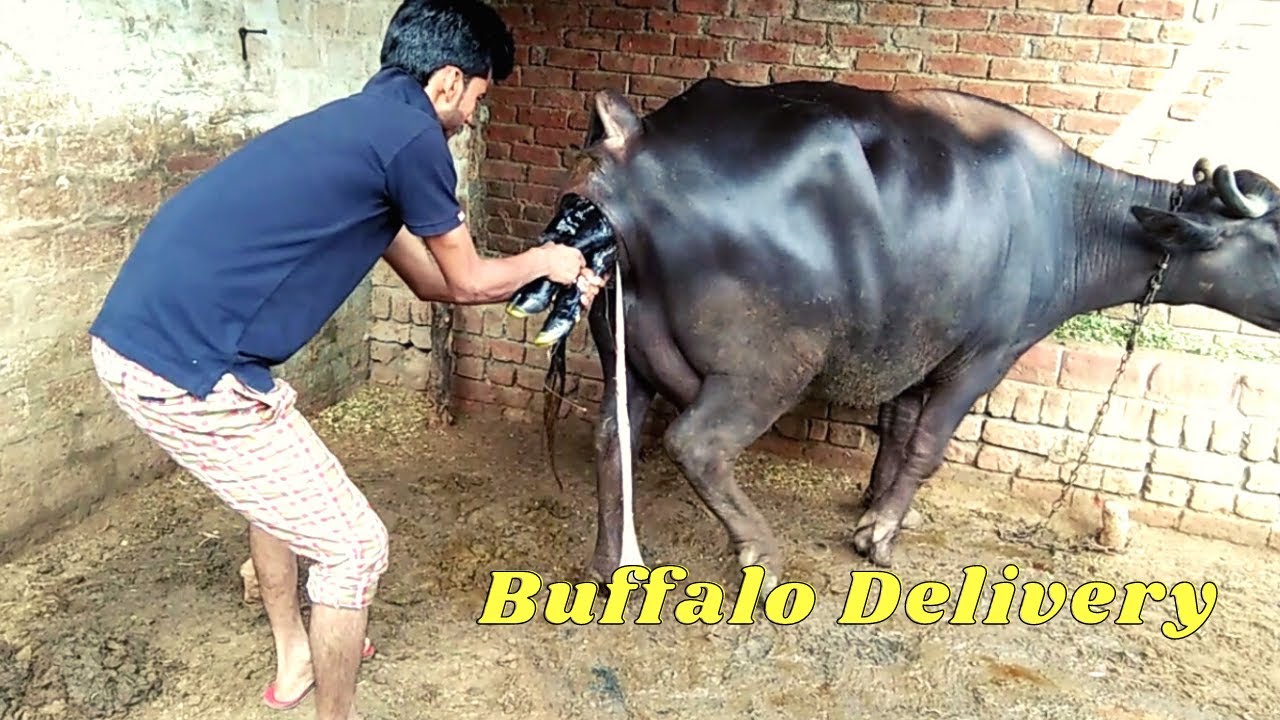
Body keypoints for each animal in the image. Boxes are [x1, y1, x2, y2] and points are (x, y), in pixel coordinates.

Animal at [518, 78, 1280, 595]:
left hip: (622, 350)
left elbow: (896, 431)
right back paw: (762, 555)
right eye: (1272, 241)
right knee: (696, 443)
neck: (1066, 218)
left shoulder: (918, 349)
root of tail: (633, 150)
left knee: (610, 437)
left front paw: (877, 507)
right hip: (767, 366)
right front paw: (879, 537)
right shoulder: (984, 355)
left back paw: (608, 564)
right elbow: (927, 446)